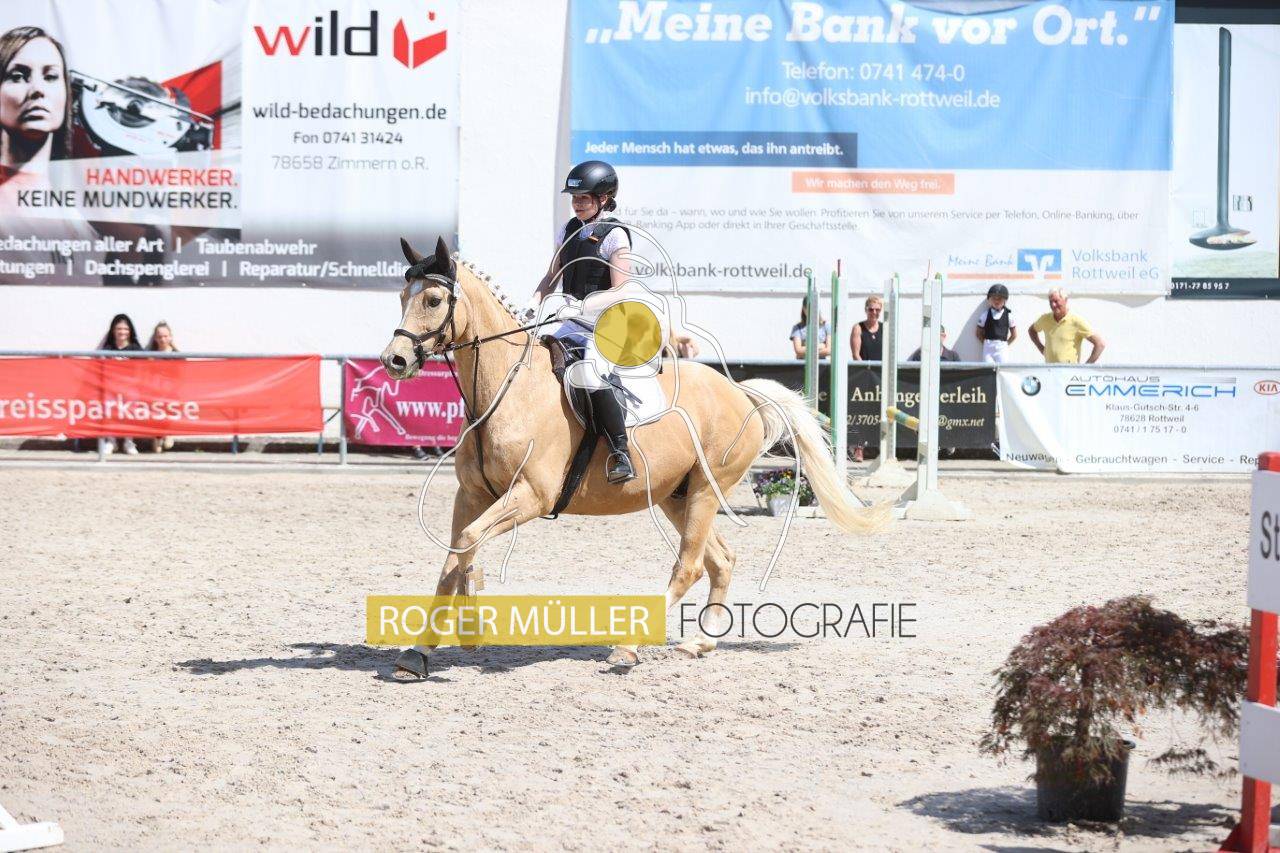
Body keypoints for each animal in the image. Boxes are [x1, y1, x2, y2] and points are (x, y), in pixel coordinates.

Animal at [380, 237, 888, 678]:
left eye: (432, 300)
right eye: (402, 296)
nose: (394, 361)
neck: (506, 386)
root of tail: (739, 392)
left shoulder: (531, 497)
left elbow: (467, 545)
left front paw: (470, 625)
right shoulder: (472, 495)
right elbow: (452, 558)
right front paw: (419, 653)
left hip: (706, 490)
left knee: (690, 565)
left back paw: (628, 647)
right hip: (675, 496)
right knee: (721, 560)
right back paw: (700, 641)